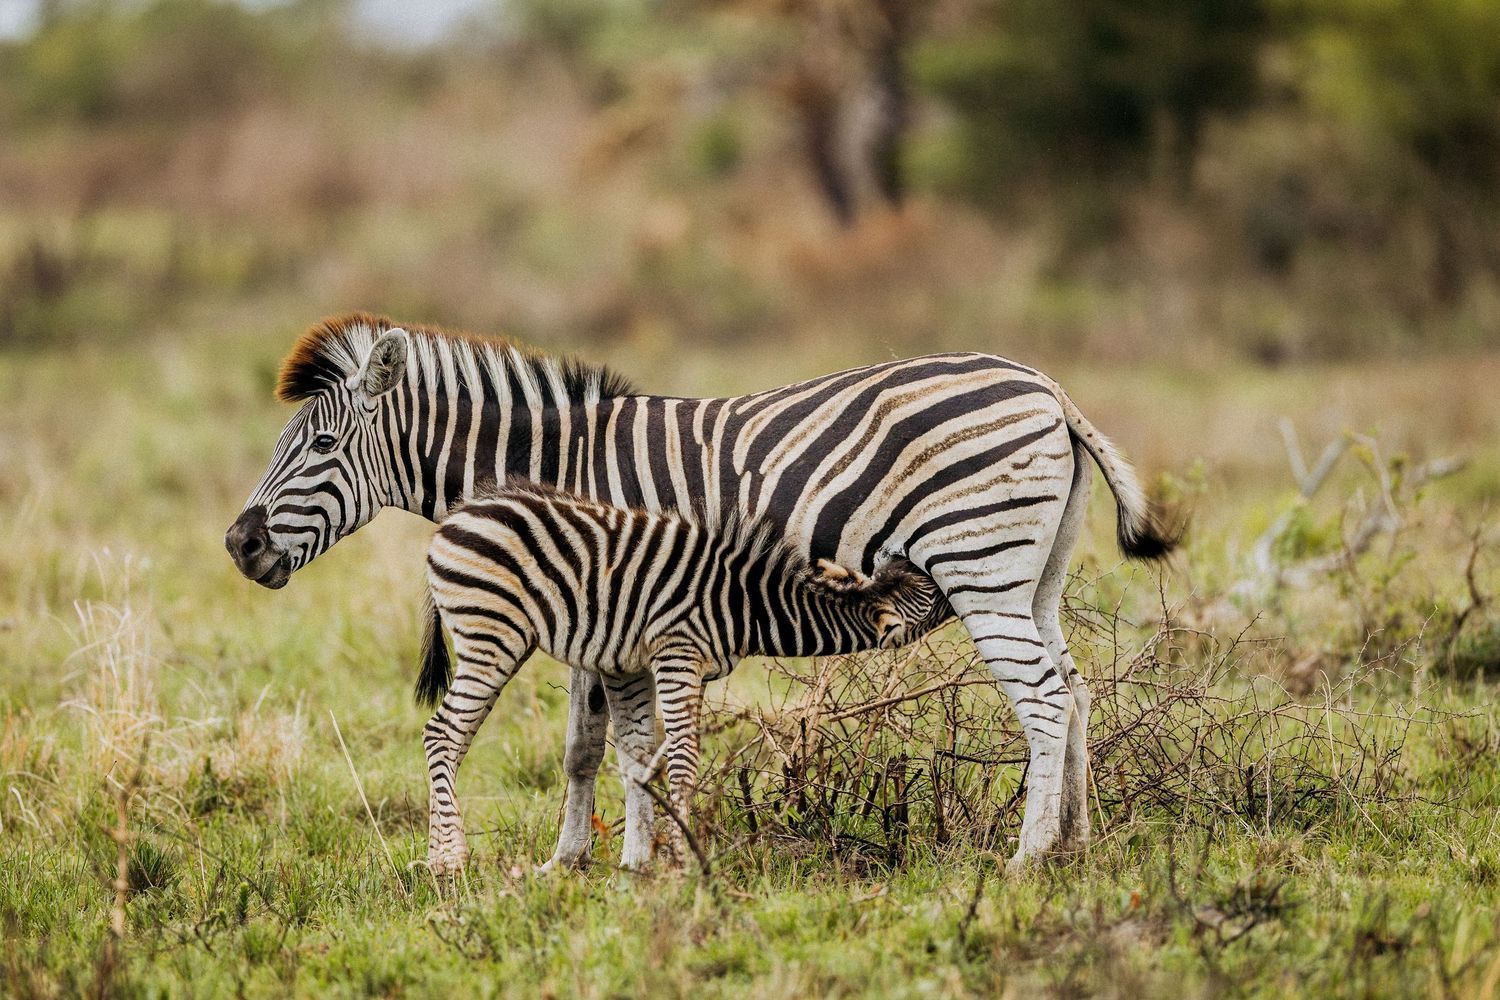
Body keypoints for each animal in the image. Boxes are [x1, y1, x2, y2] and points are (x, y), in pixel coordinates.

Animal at [420, 481, 948, 873]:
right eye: (934, 591)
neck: (747, 604)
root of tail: (459, 516)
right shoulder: (678, 652)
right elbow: (682, 761)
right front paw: (681, 859)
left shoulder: (638, 662)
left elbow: (642, 760)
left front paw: (642, 862)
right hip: (491, 633)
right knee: (441, 733)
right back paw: (451, 862)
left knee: (455, 741)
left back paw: (432, 854)